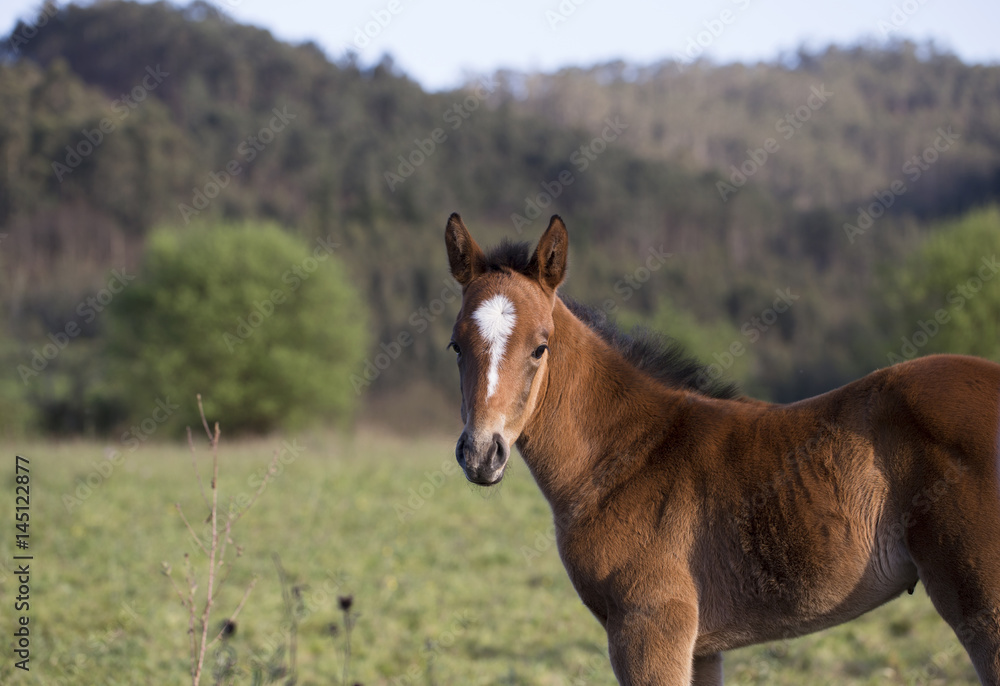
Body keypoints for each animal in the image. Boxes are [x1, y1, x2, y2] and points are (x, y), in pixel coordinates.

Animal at [442, 212, 1000, 685]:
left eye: (540, 346)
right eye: (455, 346)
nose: (481, 453)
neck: (626, 453)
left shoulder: (649, 628)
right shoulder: (702, 648)